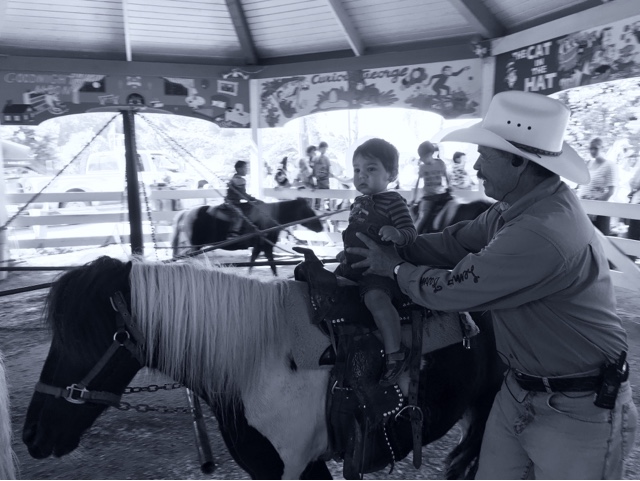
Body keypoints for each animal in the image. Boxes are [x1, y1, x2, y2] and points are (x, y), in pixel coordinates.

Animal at [171, 197, 324, 275]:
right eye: (307, 209)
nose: (320, 227)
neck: (269, 218)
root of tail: (186, 213)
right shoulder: (266, 247)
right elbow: (272, 265)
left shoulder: (259, 247)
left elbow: (253, 263)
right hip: (195, 246)